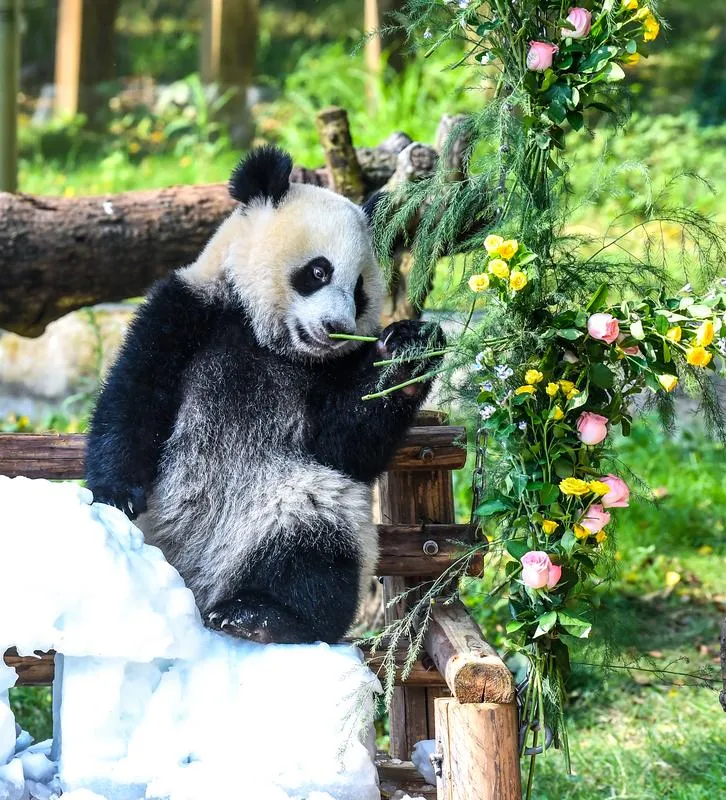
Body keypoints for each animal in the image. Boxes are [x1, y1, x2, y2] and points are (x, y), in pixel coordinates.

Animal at [85, 145, 444, 645]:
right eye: (318, 271)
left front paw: (410, 349)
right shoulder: (190, 309)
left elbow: (344, 445)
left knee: (315, 549)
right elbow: (135, 397)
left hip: (282, 507)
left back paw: (263, 617)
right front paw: (115, 496)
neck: (269, 342)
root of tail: (203, 589)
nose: (336, 327)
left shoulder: (333, 373)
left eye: (359, 291)